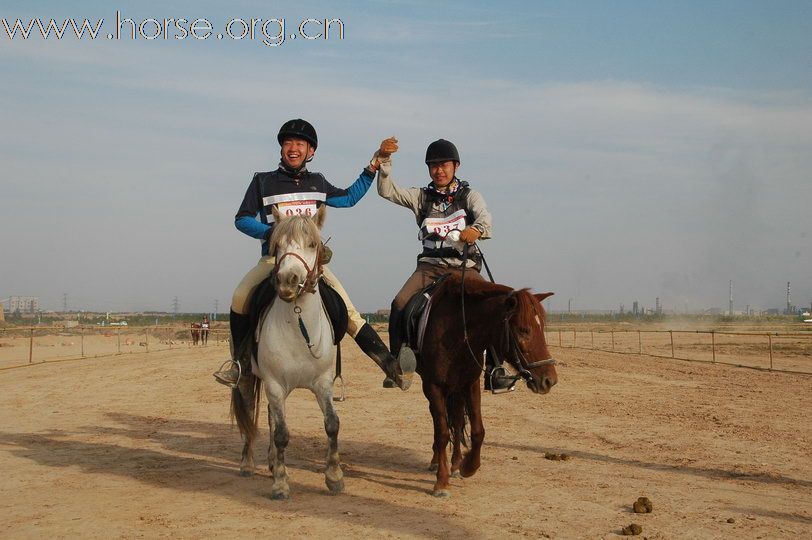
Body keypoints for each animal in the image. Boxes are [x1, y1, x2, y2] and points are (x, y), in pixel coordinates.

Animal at [232, 205, 342, 500]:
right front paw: (280, 484)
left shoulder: (322, 383)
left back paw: (272, 463)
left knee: (270, 416)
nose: (287, 281)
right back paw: (248, 463)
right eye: (277, 245)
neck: (298, 322)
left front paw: (334, 477)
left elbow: (332, 423)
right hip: (250, 377)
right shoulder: (274, 384)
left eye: (313, 244)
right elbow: (281, 433)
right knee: (250, 413)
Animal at [418, 274, 560, 498]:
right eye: (523, 330)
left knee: (456, 421)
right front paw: (441, 482)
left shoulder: (470, 383)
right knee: (440, 422)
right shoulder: (433, 386)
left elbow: (477, 431)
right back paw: (437, 463)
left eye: (541, 329)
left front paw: (468, 466)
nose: (549, 380)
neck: (456, 333)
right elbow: (441, 432)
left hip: (456, 390)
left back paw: (455, 465)